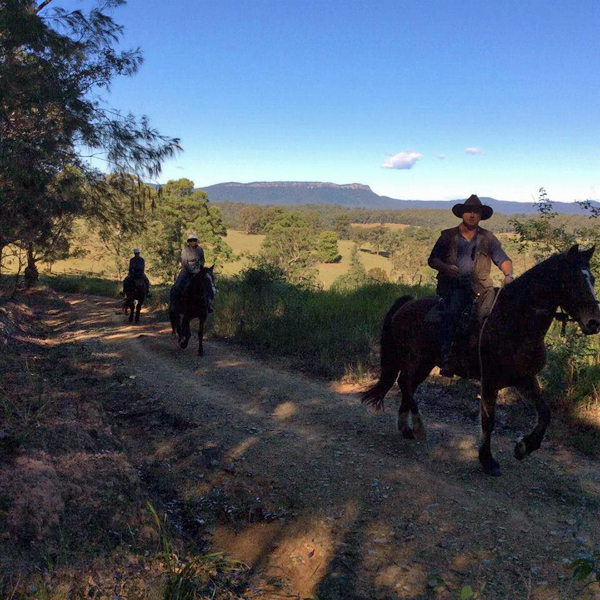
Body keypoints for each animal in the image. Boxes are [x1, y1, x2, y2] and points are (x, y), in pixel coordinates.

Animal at [360, 243, 600, 474]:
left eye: (593, 279)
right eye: (572, 280)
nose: (594, 322)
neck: (515, 321)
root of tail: (406, 305)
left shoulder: (525, 379)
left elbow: (545, 413)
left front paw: (524, 447)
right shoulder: (490, 381)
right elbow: (488, 420)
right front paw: (487, 460)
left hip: (424, 364)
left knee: (407, 385)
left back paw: (406, 429)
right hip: (414, 359)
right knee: (405, 384)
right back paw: (418, 427)